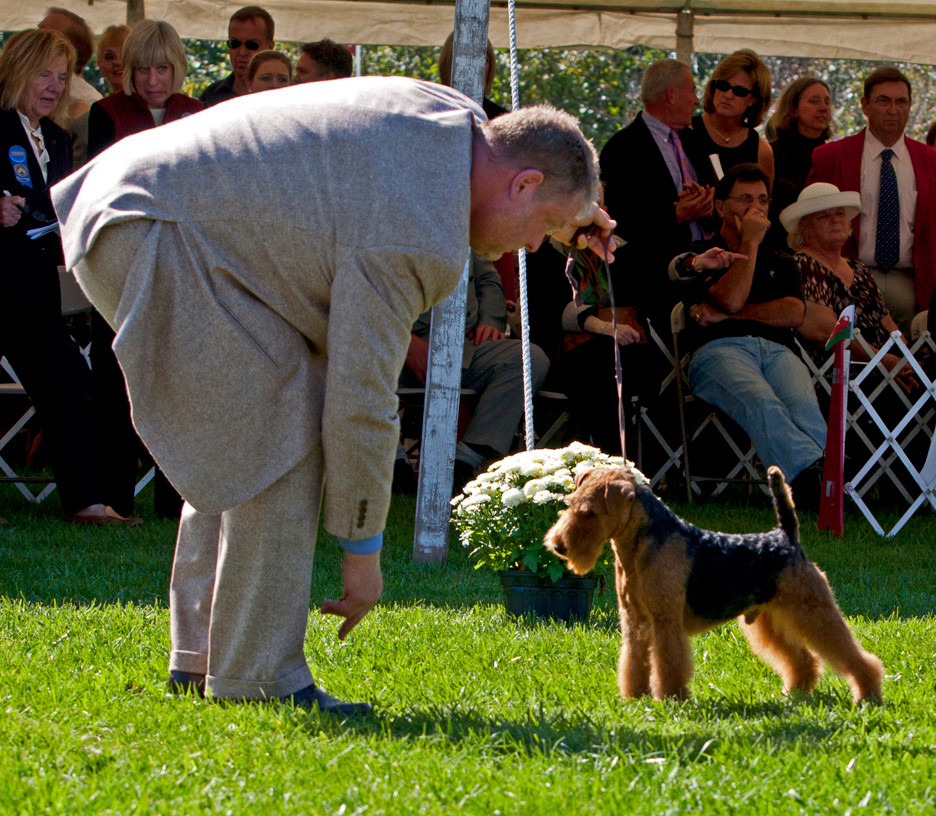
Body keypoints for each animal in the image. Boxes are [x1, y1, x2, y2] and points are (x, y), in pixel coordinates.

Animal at [544, 465, 883, 704]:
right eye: (571, 503)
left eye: (589, 512)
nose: (558, 546)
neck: (641, 545)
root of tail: (786, 536)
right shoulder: (634, 620)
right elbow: (635, 661)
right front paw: (635, 697)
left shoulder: (664, 621)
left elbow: (668, 662)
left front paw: (671, 699)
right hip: (769, 618)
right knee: (802, 659)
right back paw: (795, 692)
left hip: (812, 609)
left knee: (851, 654)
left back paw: (868, 694)